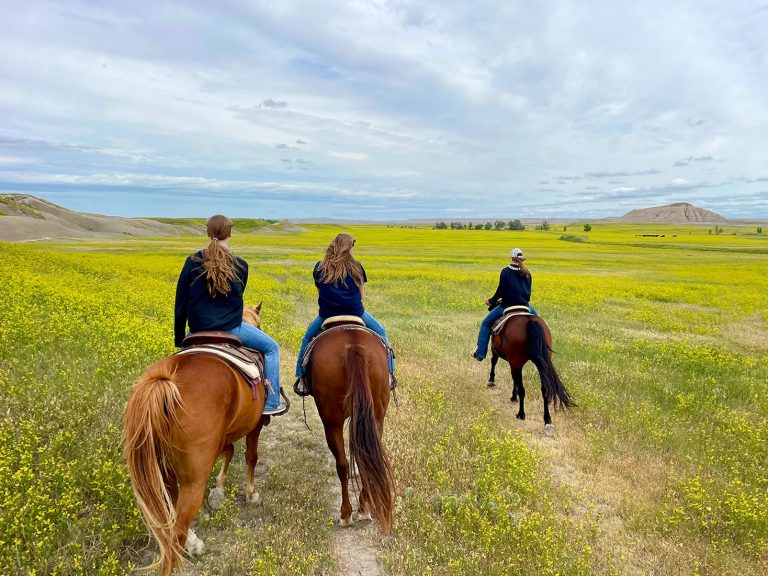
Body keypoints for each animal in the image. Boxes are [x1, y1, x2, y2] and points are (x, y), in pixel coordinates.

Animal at [124, 304, 268, 572]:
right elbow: (251, 457)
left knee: (171, 512)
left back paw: (194, 543)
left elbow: (229, 452)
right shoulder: (255, 426)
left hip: (163, 470)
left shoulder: (223, 436)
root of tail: (165, 382)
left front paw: (218, 491)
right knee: (174, 535)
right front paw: (251, 494)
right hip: (193, 479)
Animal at [308, 324, 396, 532]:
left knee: (342, 464)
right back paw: (363, 510)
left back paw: (346, 515)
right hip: (376, 416)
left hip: (331, 421)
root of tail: (354, 347)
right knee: (367, 458)